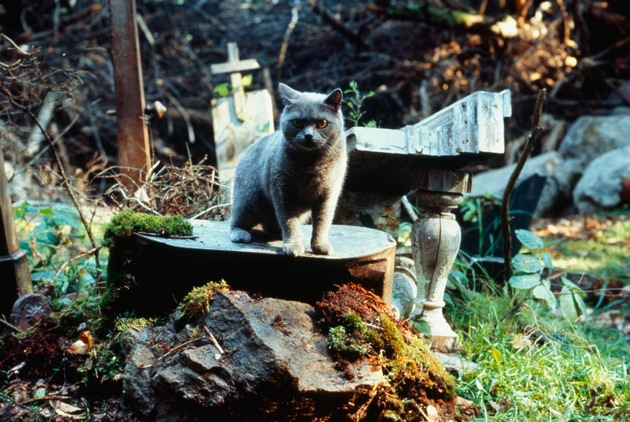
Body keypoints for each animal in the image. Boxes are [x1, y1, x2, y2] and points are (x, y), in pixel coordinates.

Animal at [232, 81, 348, 254]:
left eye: (322, 123)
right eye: (297, 122)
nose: (308, 135)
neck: (312, 165)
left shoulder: (328, 194)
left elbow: (322, 222)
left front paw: (320, 245)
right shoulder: (283, 191)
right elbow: (289, 222)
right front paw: (293, 245)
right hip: (249, 199)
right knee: (236, 220)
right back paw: (240, 234)